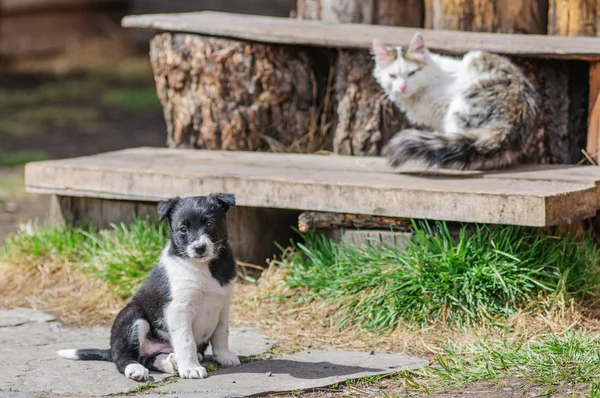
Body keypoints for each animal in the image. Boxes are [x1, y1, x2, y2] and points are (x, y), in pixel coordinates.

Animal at [57, 194, 240, 380]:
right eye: (182, 229)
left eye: (209, 223)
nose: (199, 248)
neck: (205, 267)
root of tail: (111, 349)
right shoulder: (179, 308)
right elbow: (186, 340)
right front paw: (190, 368)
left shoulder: (223, 304)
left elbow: (222, 333)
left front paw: (223, 356)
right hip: (132, 317)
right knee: (125, 357)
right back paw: (136, 368)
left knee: (148, 358)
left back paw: (170, 362)